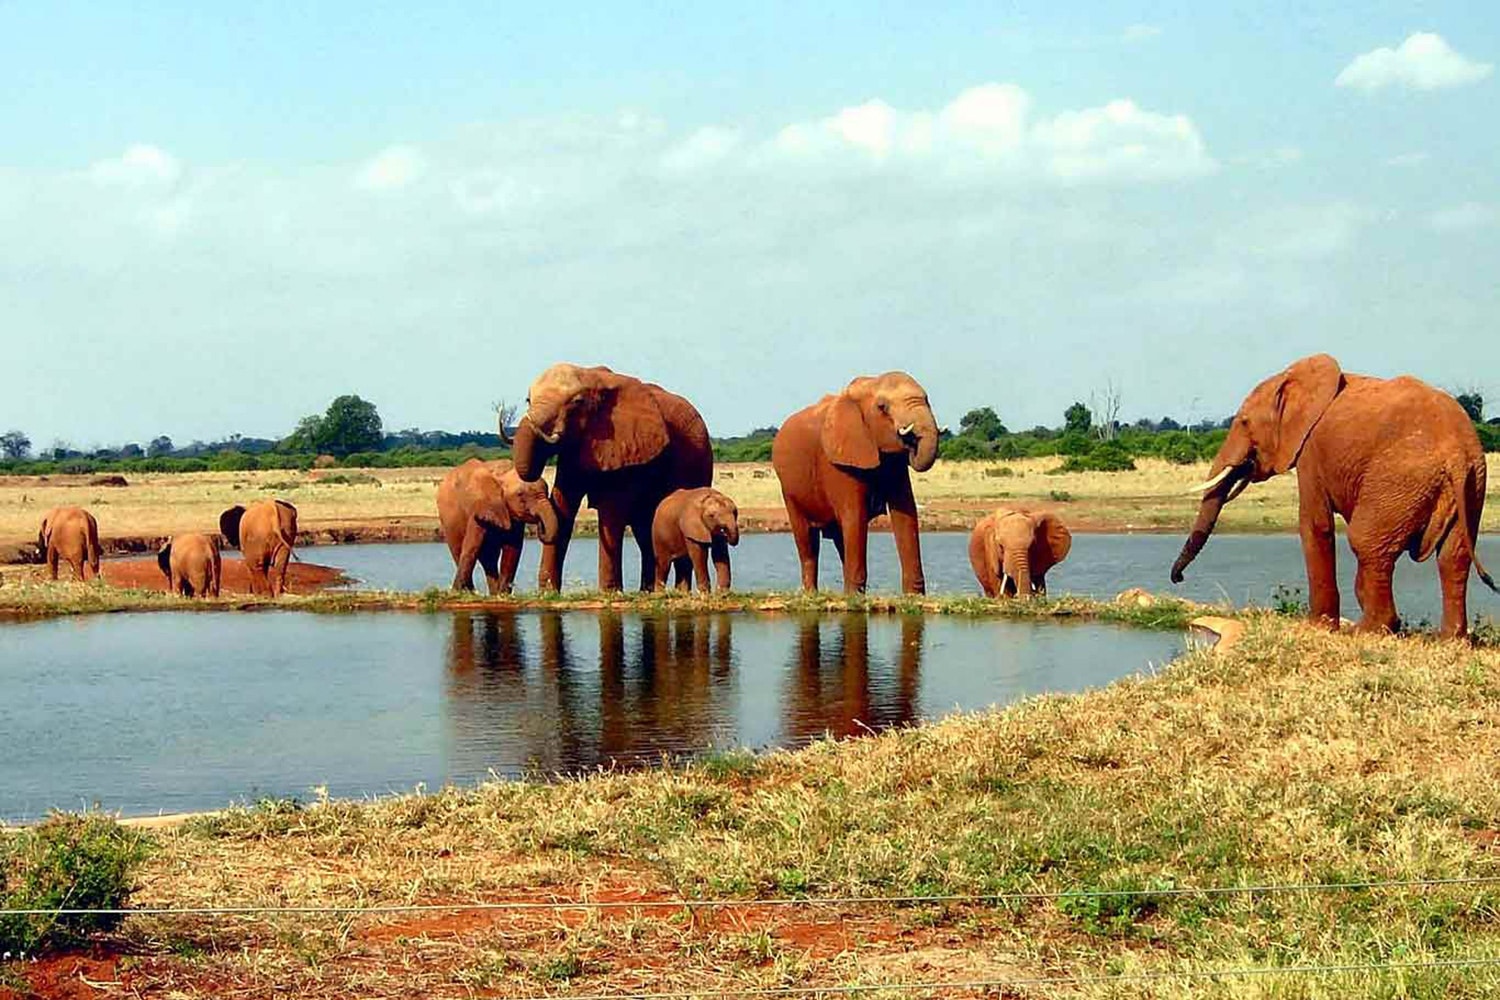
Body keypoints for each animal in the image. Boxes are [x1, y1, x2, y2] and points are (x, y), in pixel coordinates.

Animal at [438, 458, 561, 593]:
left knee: (489, 559)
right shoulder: (479, 506)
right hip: (448, 520)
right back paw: (469, 591)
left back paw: (492, 592)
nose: (539, 523)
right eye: (520, 494)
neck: (502, 475)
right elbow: (472, 545)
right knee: (459, 550)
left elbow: (513, 548)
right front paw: (460, 591)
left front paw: (502, 594)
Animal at [504, 364, 714, 590]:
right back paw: (646, 591)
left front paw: (609, 591)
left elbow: (611, 510)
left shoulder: (627, 446)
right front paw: (547, 591)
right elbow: (563, 505)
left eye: (577, 403)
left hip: (698, 461)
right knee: (645, 531)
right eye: (528, 400)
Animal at [774, 373, 936, 593]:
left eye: (927, 399)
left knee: (840, 539)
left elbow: (905, 511)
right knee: (807, 541)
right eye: (882, 407)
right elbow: (855, 515)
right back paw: (812, 594)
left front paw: (914, 596)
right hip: (789, 490)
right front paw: (853, 597)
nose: (911, 441)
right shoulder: (837, 460)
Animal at [1176, 355, 1494, 641]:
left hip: (1401, 479)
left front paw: (1318, 628)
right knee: (1453, 556)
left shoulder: (1310, 450)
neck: (1290, 380)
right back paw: (1450, 639)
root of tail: (1456, 454)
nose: (1178, 579)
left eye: (1243, 423)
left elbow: (1315, 525)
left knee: (1365, 541)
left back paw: (1368, 631)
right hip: (1472, 483)